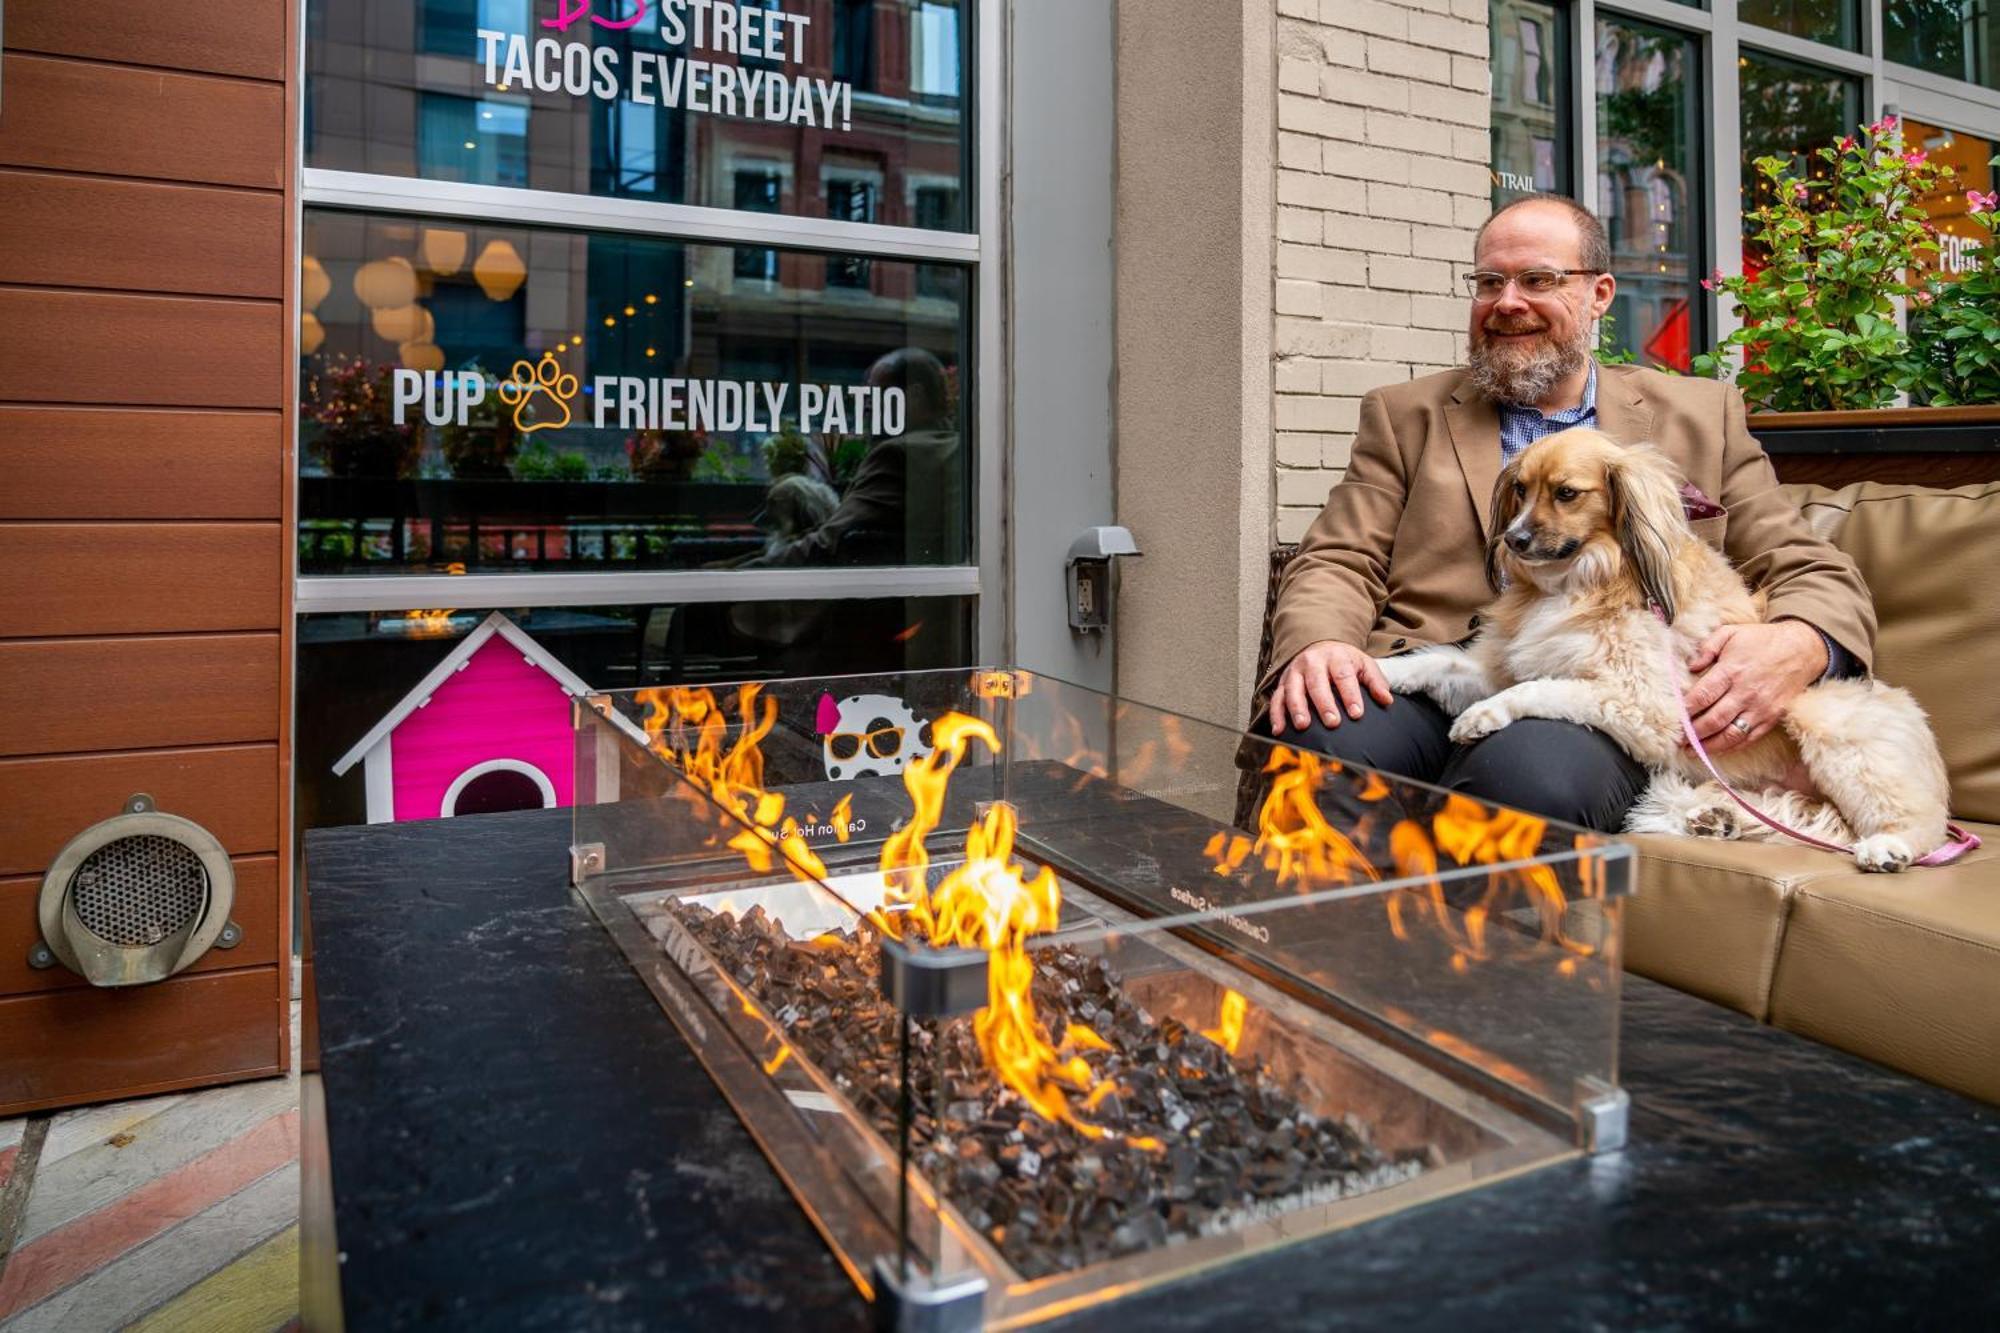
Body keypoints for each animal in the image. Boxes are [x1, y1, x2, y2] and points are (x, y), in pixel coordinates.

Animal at [1376, 428, 1952, 872]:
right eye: (1520, 488)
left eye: (1566, 493)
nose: (1513, 540)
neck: (1583, 577)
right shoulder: (1496, 667)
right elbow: (1434, 661)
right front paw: (1376, 670)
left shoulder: (1640, 702)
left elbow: (1540, 688)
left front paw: (1482, 716)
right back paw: (1715, 819)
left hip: (1825, 720)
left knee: (1920, 825)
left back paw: (1889, 847)